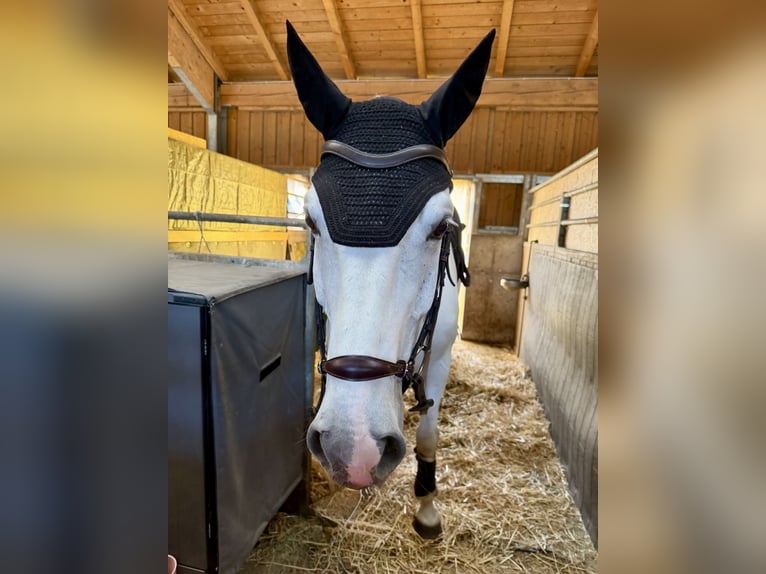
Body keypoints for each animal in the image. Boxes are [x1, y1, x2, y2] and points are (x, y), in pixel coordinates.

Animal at [286, 21, 495, 538]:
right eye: (311, 221)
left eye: (441, 228)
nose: (352, 449)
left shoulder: (439, 357)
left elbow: (429, 432)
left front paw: (427, 507)